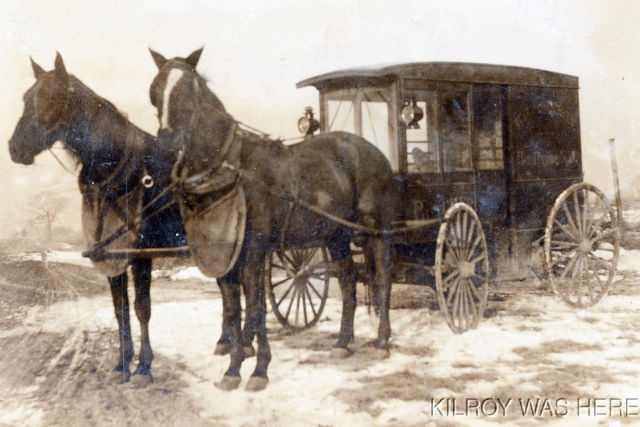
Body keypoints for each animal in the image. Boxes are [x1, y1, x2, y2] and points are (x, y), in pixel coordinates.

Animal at [8, 53, 186, 384]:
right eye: (26, 97)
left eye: (51, 96)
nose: (15, 148)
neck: (119, 169)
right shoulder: (110, 253)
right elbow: (120, 308)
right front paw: (123, 362)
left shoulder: (140, 253)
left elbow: (142, 308)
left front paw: (144, 365)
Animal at [149, 48, 396, 392]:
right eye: (156, 89)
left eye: (188, 89)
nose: (167, 141)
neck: (230, 168)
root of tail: (369, 148)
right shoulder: (226, 253)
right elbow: (234, 306)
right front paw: (234, 362)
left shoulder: (254, 250)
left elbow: (255, 304)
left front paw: (255, 369)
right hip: (336, 236)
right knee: (347, 280)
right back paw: (343, 341)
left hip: (376, 229)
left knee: (383, 279)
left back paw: (382, 341)